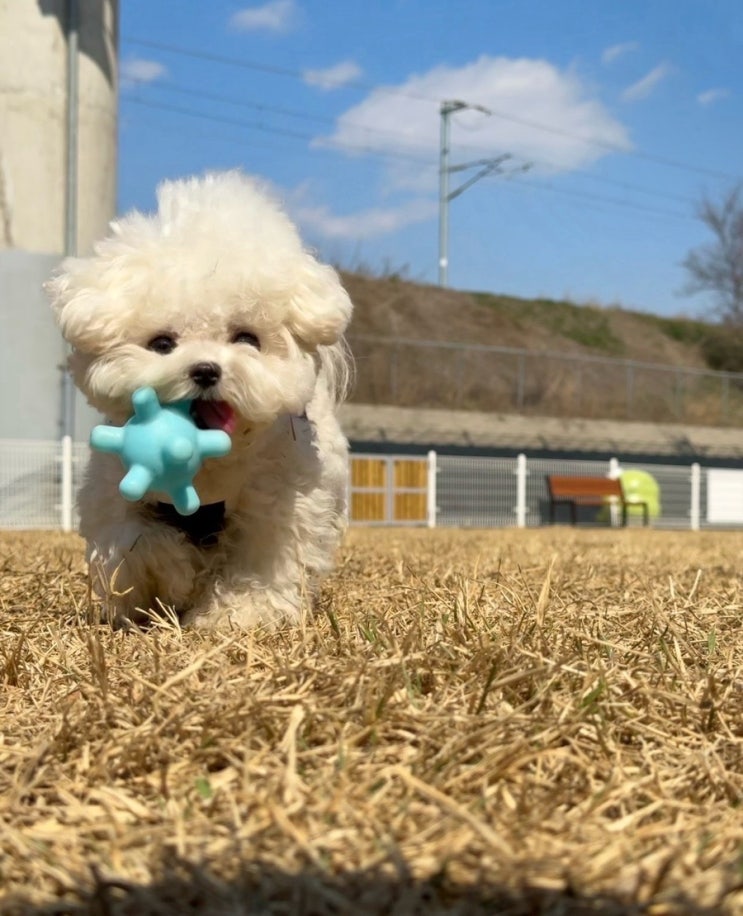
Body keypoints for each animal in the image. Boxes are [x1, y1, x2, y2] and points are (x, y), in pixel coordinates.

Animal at [47, 170, 354, 628]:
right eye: (162, 343)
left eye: (246, 338)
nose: (206, 370)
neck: (209, 464)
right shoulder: (113, 496)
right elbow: (139, 541)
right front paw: (175, 577)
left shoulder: (278, 504)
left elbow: (261, 562)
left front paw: (239, 612)